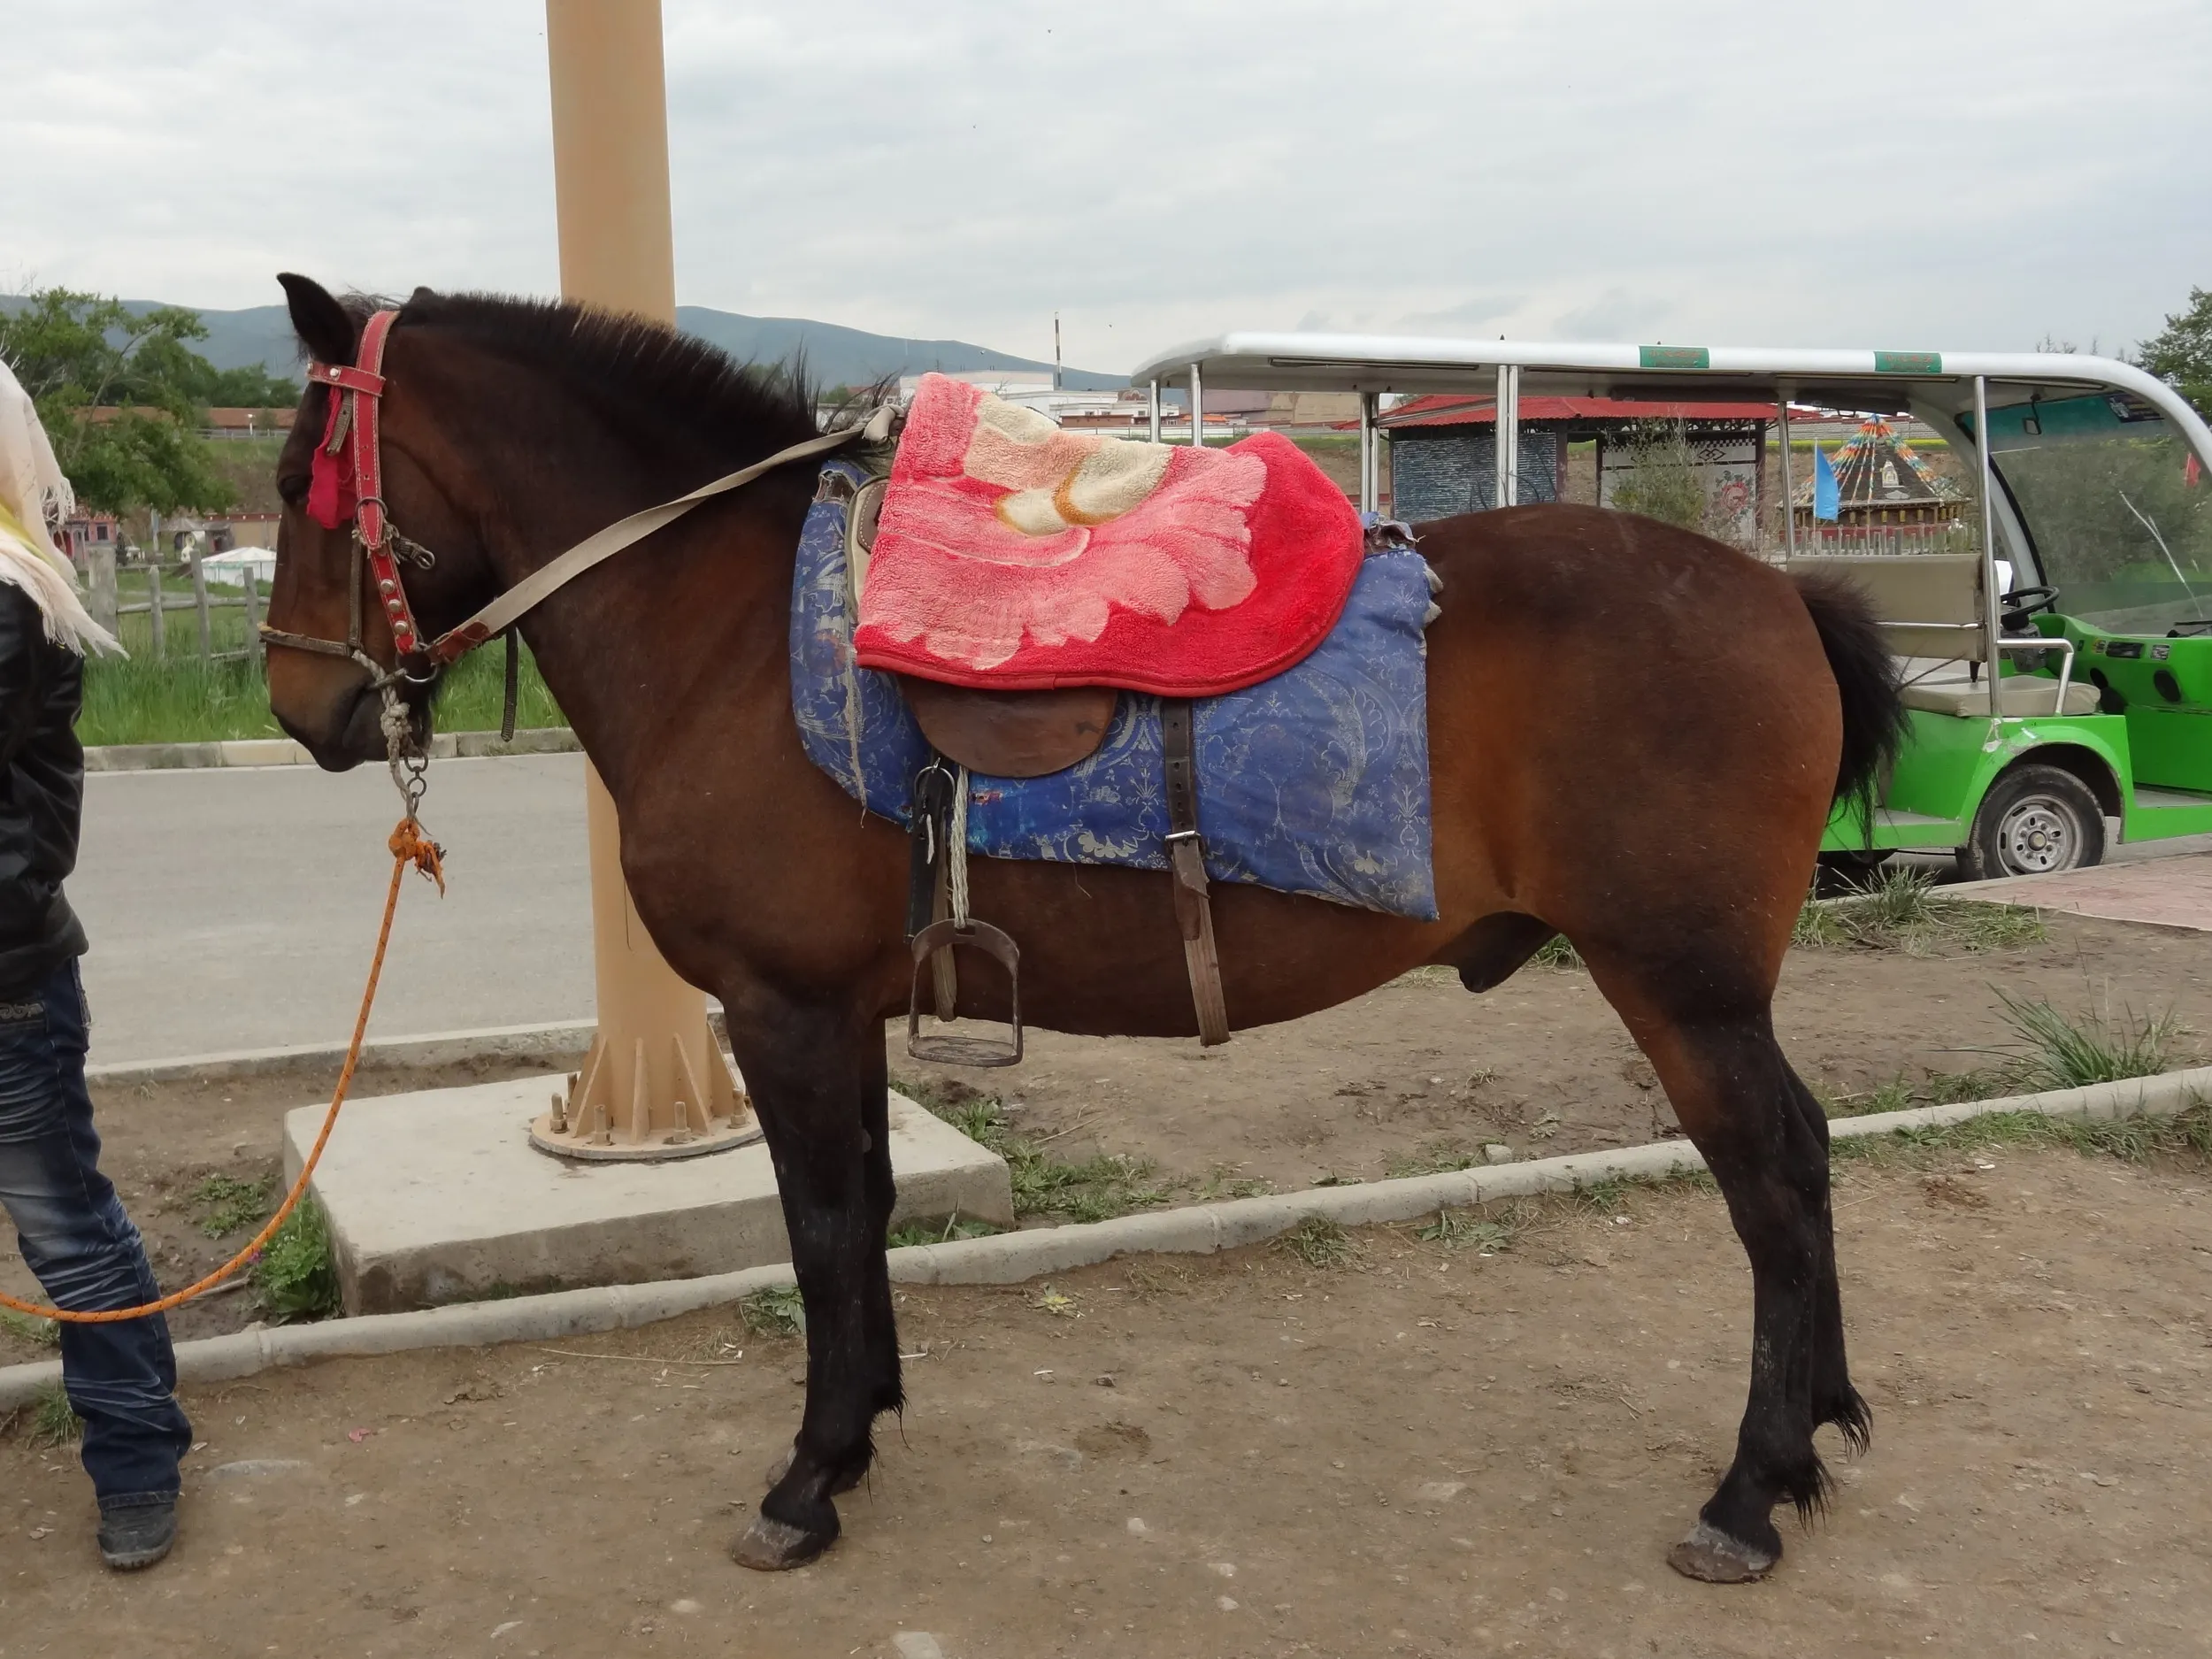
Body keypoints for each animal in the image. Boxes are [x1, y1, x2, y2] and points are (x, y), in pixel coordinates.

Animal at [262, 273, 1906, 1582]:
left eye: (300, 476)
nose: (298, 704)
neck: (725, 628)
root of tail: (1780, 594)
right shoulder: (841, 1012)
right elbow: (861, 1213)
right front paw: (860, 1428)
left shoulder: (786, 1007)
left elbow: (821, 1224)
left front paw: (810, 1473)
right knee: (1808, 1162)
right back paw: (1813, 1430)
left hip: (1682, 988)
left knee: (1774, 1181)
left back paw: (1752, 1489)